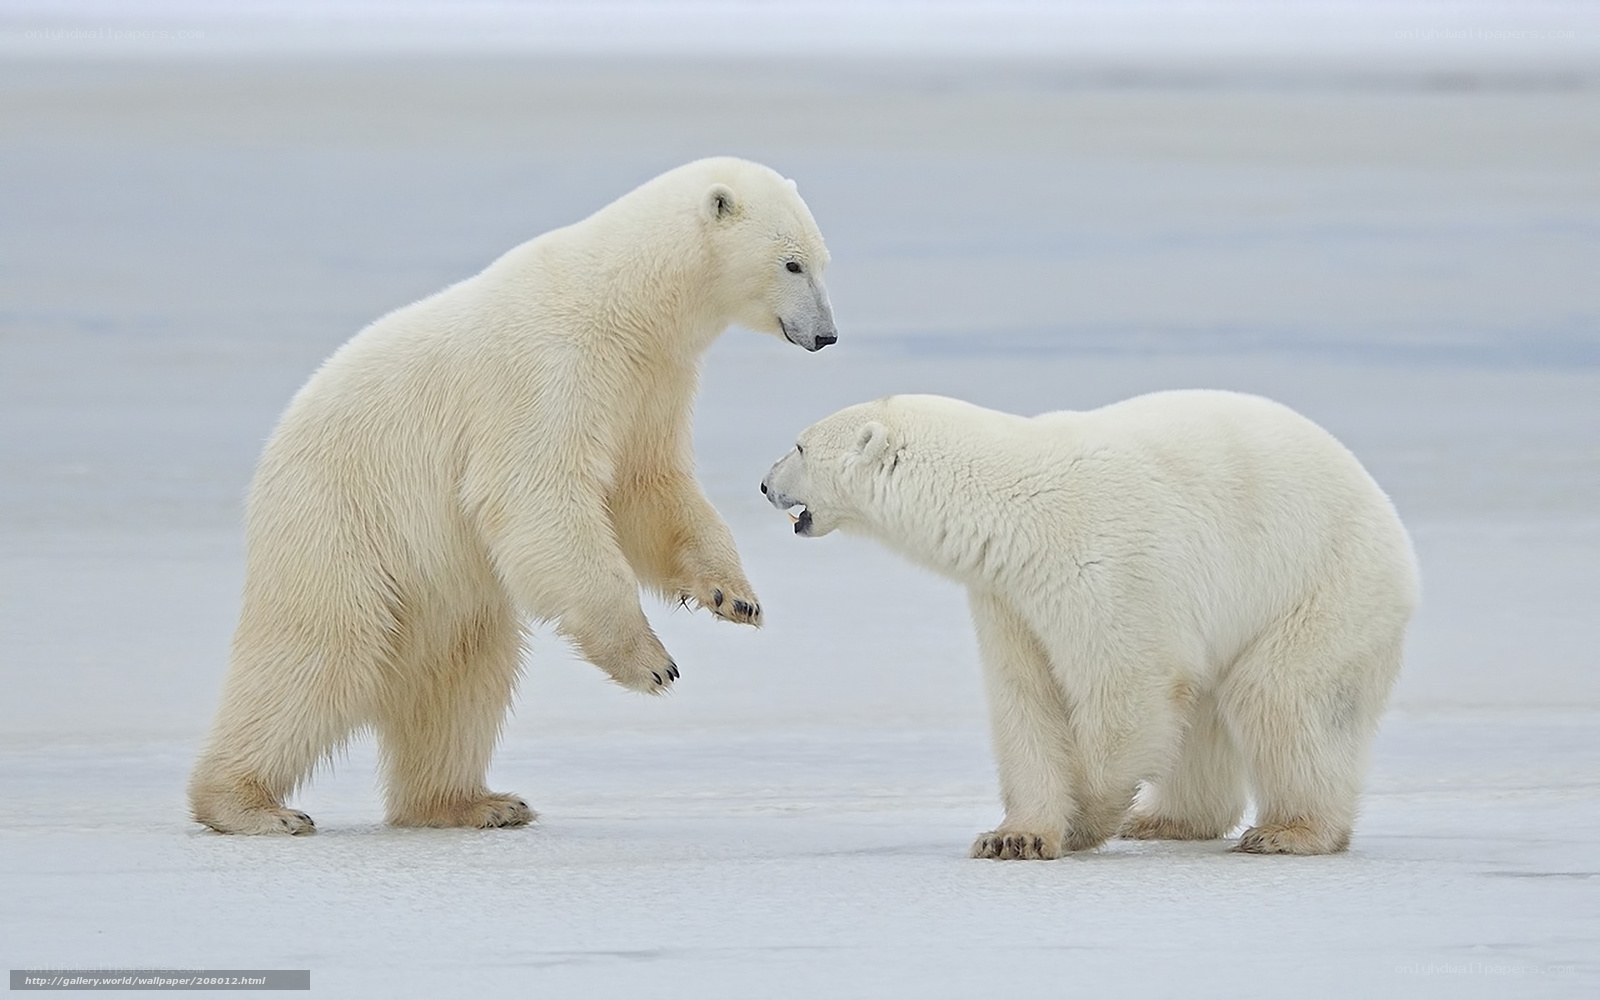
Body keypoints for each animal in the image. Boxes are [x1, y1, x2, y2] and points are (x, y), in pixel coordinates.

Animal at [189, 157, 836, 835]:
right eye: (793, 264)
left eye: (822, 260)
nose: (827, 335)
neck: (624, 303)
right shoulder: (548, 372)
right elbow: (536, 493)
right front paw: (652, 662)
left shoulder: (651, 382)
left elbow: (648, 489)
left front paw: (733, 596)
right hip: (342, 521)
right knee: (321, 653)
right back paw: (251, 804)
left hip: (439, 587)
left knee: (463, 676)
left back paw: (475, 802)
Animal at [761, 390, 1418, 859]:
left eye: (798, 446)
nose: (764, 483)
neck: (1010, 507)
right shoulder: (1007, 596)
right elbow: (1026, 699)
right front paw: (1014, 837)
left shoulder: (1106, 568)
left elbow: (1125, 690)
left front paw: (1085, 817)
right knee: (1206, 714)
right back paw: (1166, 819)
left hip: (1321, 586)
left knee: (1284, 700)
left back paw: (1290, 831)